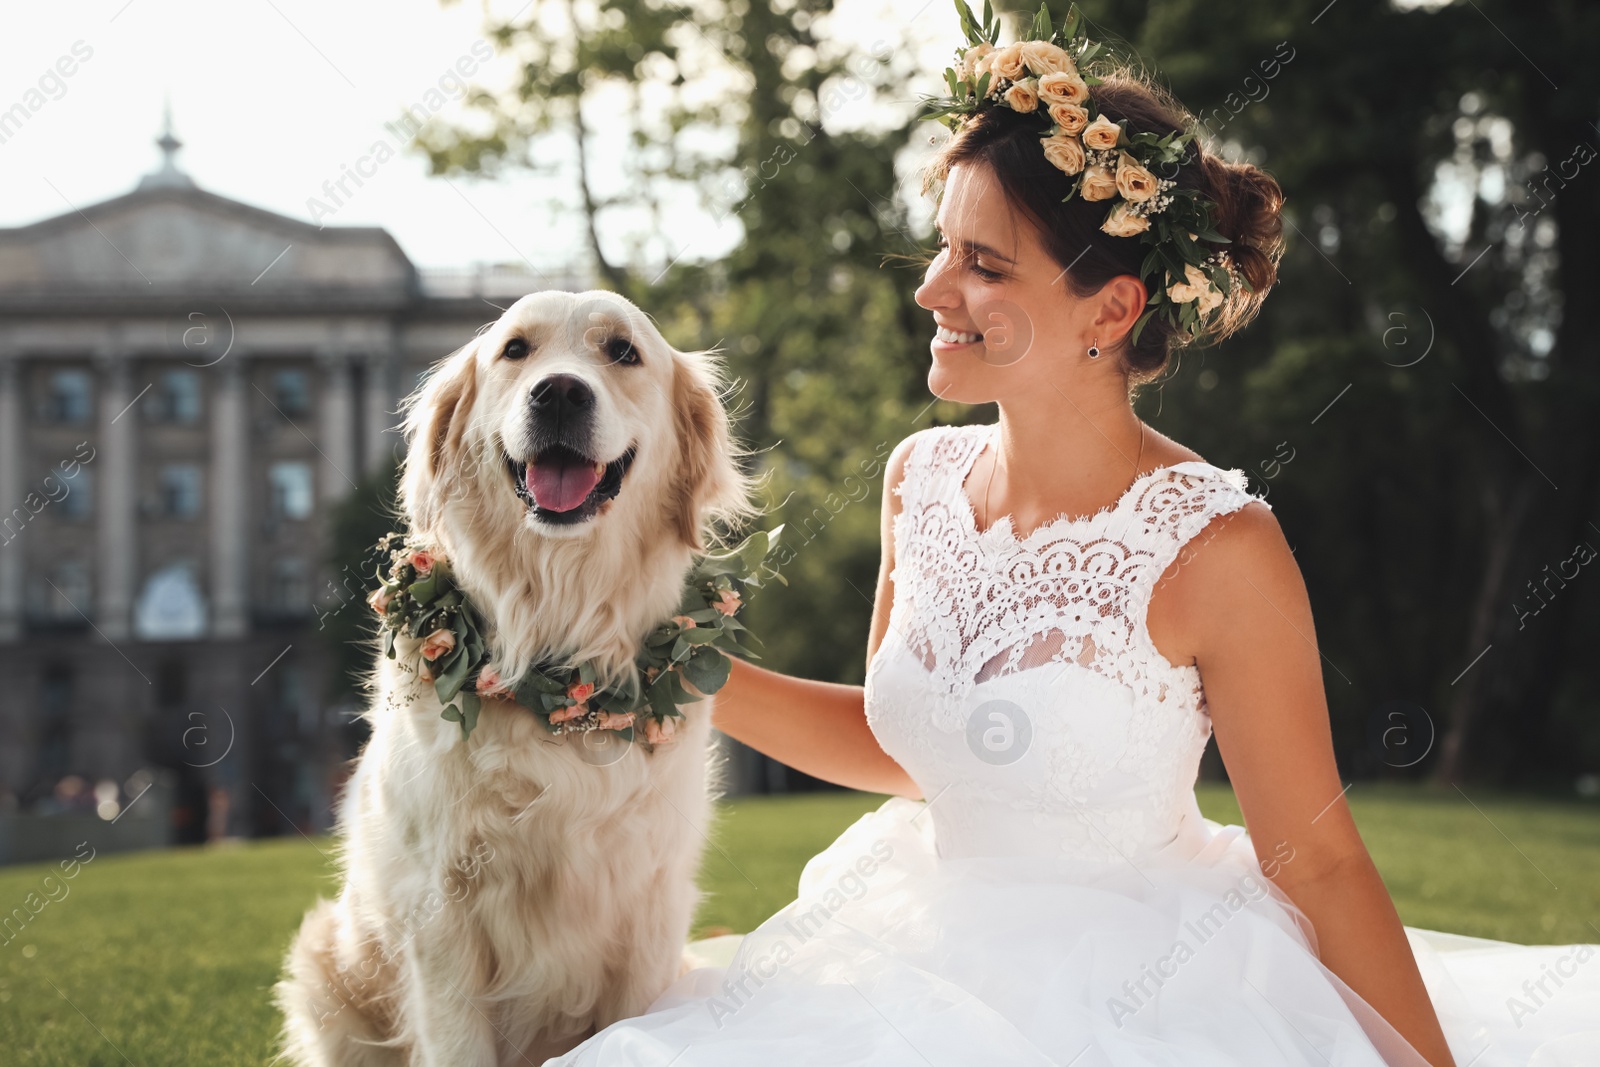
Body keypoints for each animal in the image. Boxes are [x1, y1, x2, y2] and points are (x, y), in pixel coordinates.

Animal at [276, 287, 761, 1062]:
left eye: (623, 351)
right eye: (515, 350)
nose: (559, 391)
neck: (556, 658)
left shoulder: (649, 907)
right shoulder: (439, 916)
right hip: (325, 966)